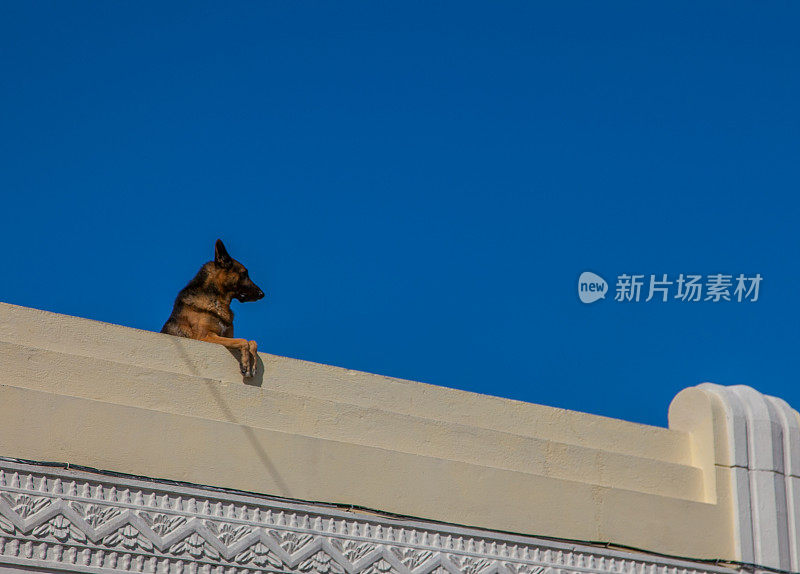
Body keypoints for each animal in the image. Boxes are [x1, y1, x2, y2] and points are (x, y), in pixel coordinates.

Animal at [162, 240, 266, 378]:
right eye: (244, 274)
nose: (262, 294)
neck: (216, 300)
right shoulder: (205, 337)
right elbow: (243, 341)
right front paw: (246, 364)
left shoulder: (227, 337)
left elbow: (253, 342)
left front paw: (252, 362)